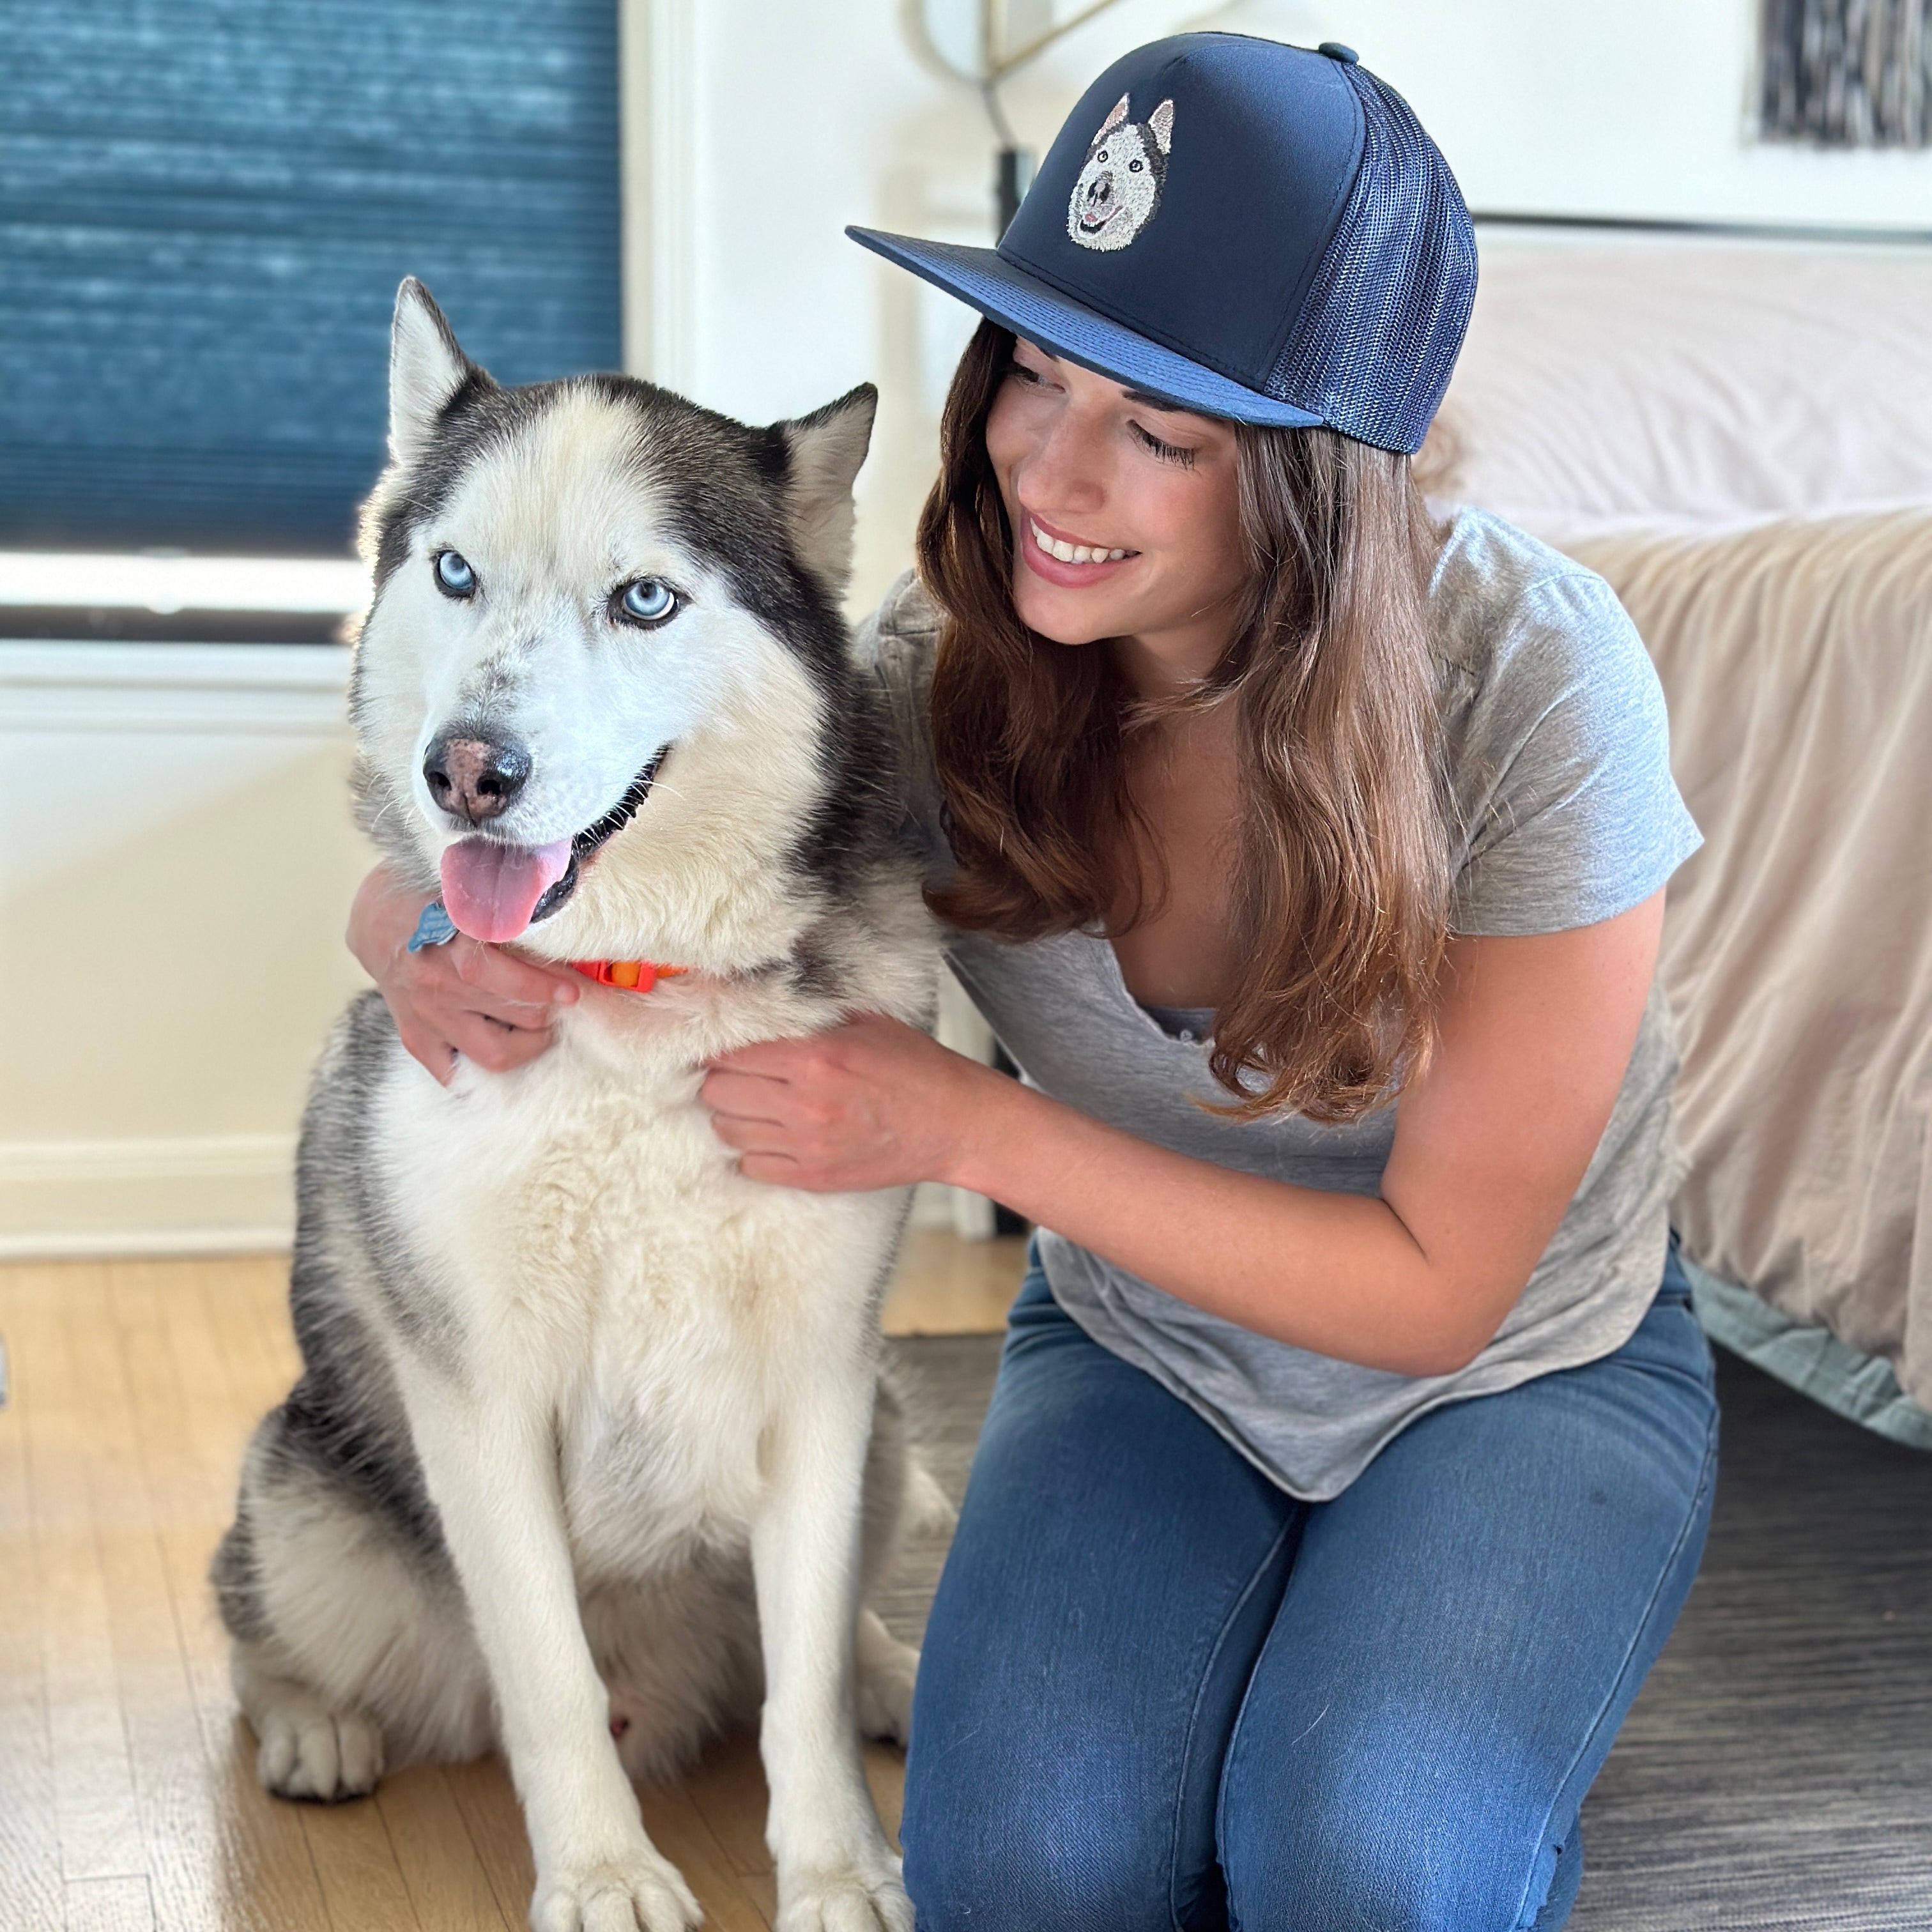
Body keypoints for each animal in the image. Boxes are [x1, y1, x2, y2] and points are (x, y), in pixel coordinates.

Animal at [213, 276, 935, 1932]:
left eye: (647, 601)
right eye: (457, 574)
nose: (469, 771)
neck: (632, 996)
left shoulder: (821, 1384)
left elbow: (801, 1685)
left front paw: (838, 1867)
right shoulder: (482, 1400)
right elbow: (544, 1681)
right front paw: (606, 1875)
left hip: (885, 1423)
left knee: (814, 1647)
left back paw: (896, 1678)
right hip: (306, 1502)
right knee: (258, 1632)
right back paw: (312, 1725)